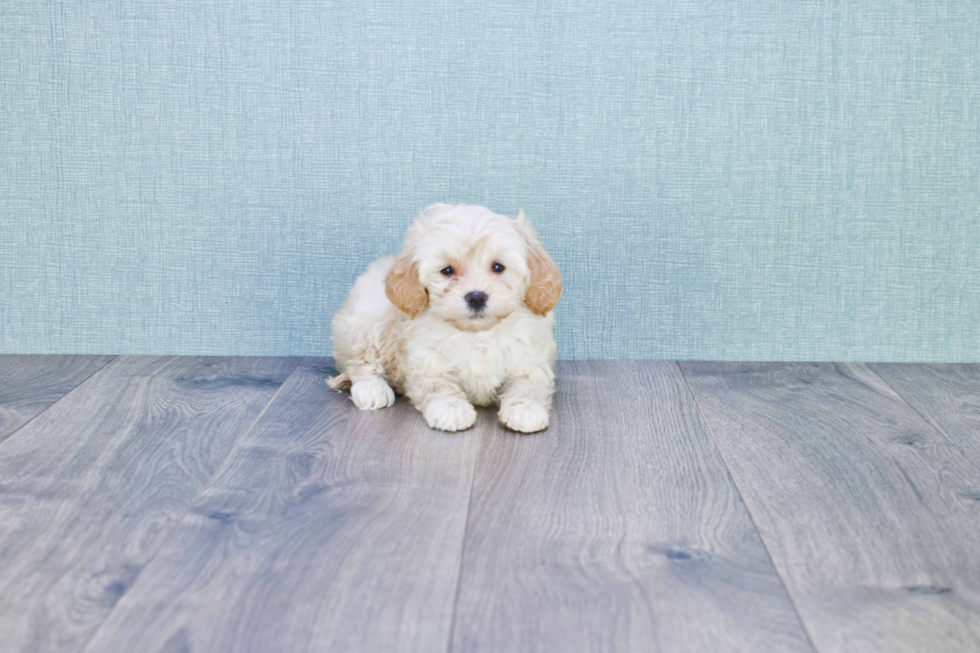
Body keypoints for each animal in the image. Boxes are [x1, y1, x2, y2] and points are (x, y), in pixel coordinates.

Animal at [328, 201, 564, 430]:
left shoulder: (530, 359)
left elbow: (529, 384)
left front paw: (526, 409)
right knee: (359, 361)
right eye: (447, 271)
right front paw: (450, 408)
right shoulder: (426, 362)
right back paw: (372, 389)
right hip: (368, 318)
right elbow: (438, 385)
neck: (477, 333)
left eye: (498, 267)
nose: (476, 297)